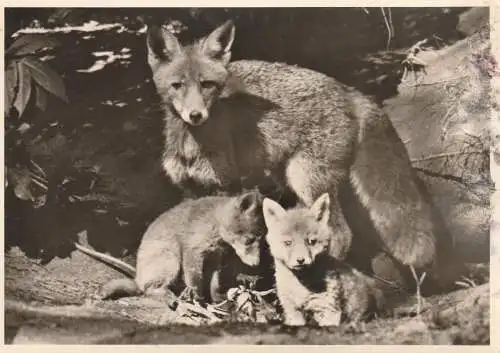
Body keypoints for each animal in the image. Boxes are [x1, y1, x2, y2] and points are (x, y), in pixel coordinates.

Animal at [147, 18, 458, 288]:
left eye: (207, 85)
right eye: (177, 86)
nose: (195, 115)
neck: (192, 147)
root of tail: (348, 90)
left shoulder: (227, 187)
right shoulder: (190, 191)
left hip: (307, 179)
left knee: (340, 235)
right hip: (288, 176)